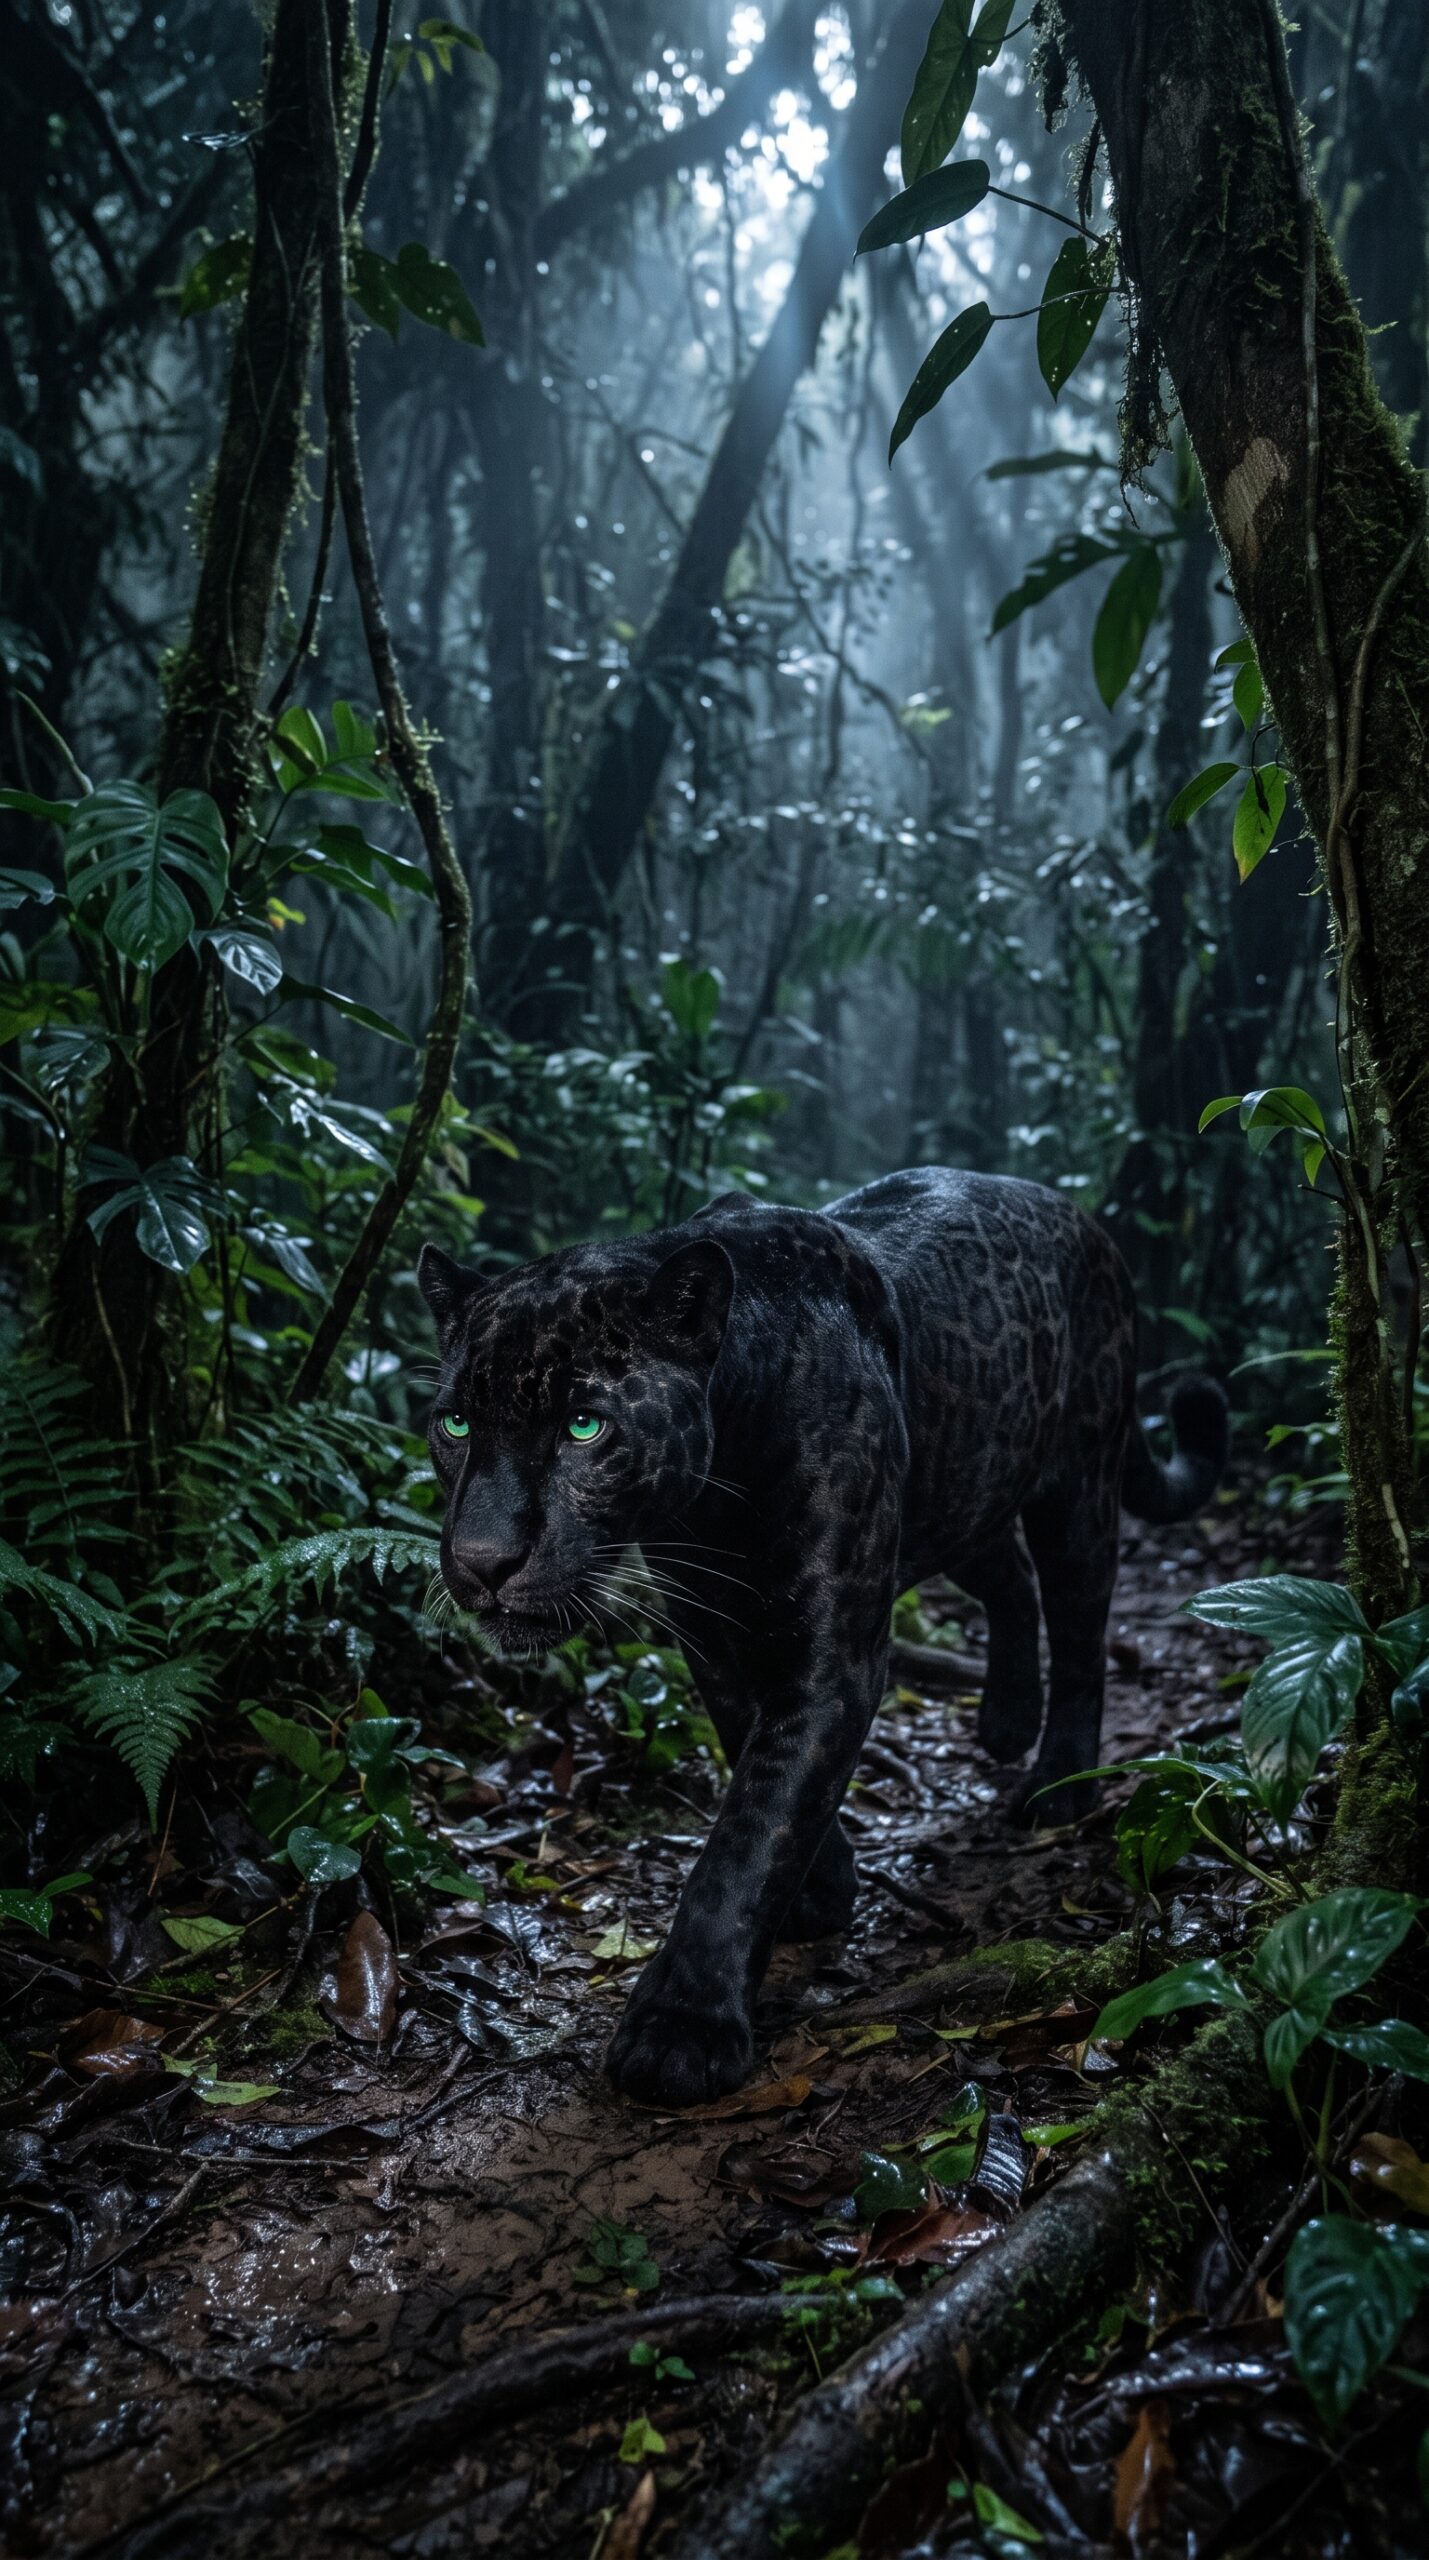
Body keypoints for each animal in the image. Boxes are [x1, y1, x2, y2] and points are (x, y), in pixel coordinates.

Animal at [418, 1167, 1228, 2108]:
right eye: (455, 1424)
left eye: (584, 1426)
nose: (480, 1560)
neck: (711, 1501)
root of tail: (1084, 1220)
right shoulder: (714, 1639)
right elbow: (757, 1769)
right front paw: (823, 1886)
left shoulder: (832, 1656)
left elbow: (751, 1831)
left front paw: (680, 2030)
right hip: (962, 1482)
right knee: (1008, 1580)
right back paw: (1003, 1723)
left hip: (1079, 1482)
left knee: (1078, 1620)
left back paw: (1057, 1778)